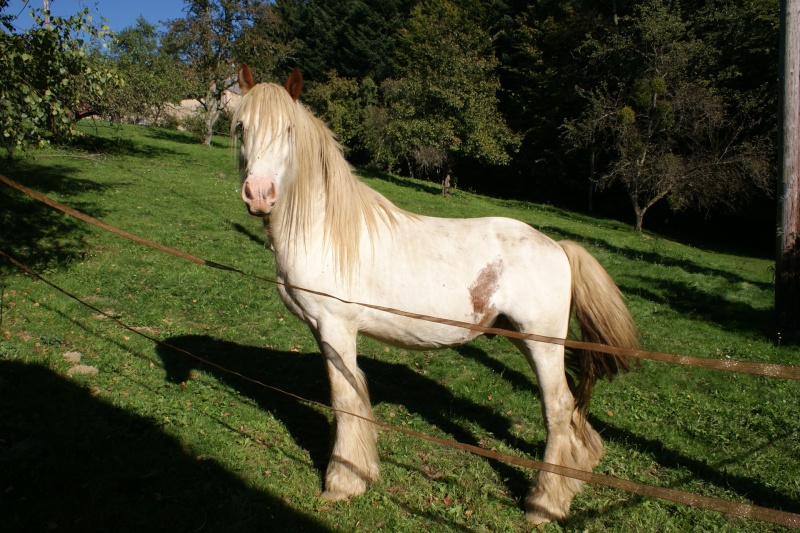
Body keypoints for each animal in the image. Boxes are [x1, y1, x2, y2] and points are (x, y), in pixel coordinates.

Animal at [230, 63, 636, 524]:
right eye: (240, 127)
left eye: (289, 130)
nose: (259, 194)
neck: (325, 229)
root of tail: (558, 248)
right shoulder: (321, 330)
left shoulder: (336, 327)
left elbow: (345, 399)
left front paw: (343, 482)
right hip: (525, 340)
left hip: (543, 344)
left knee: (558, 408)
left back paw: (544, 503)